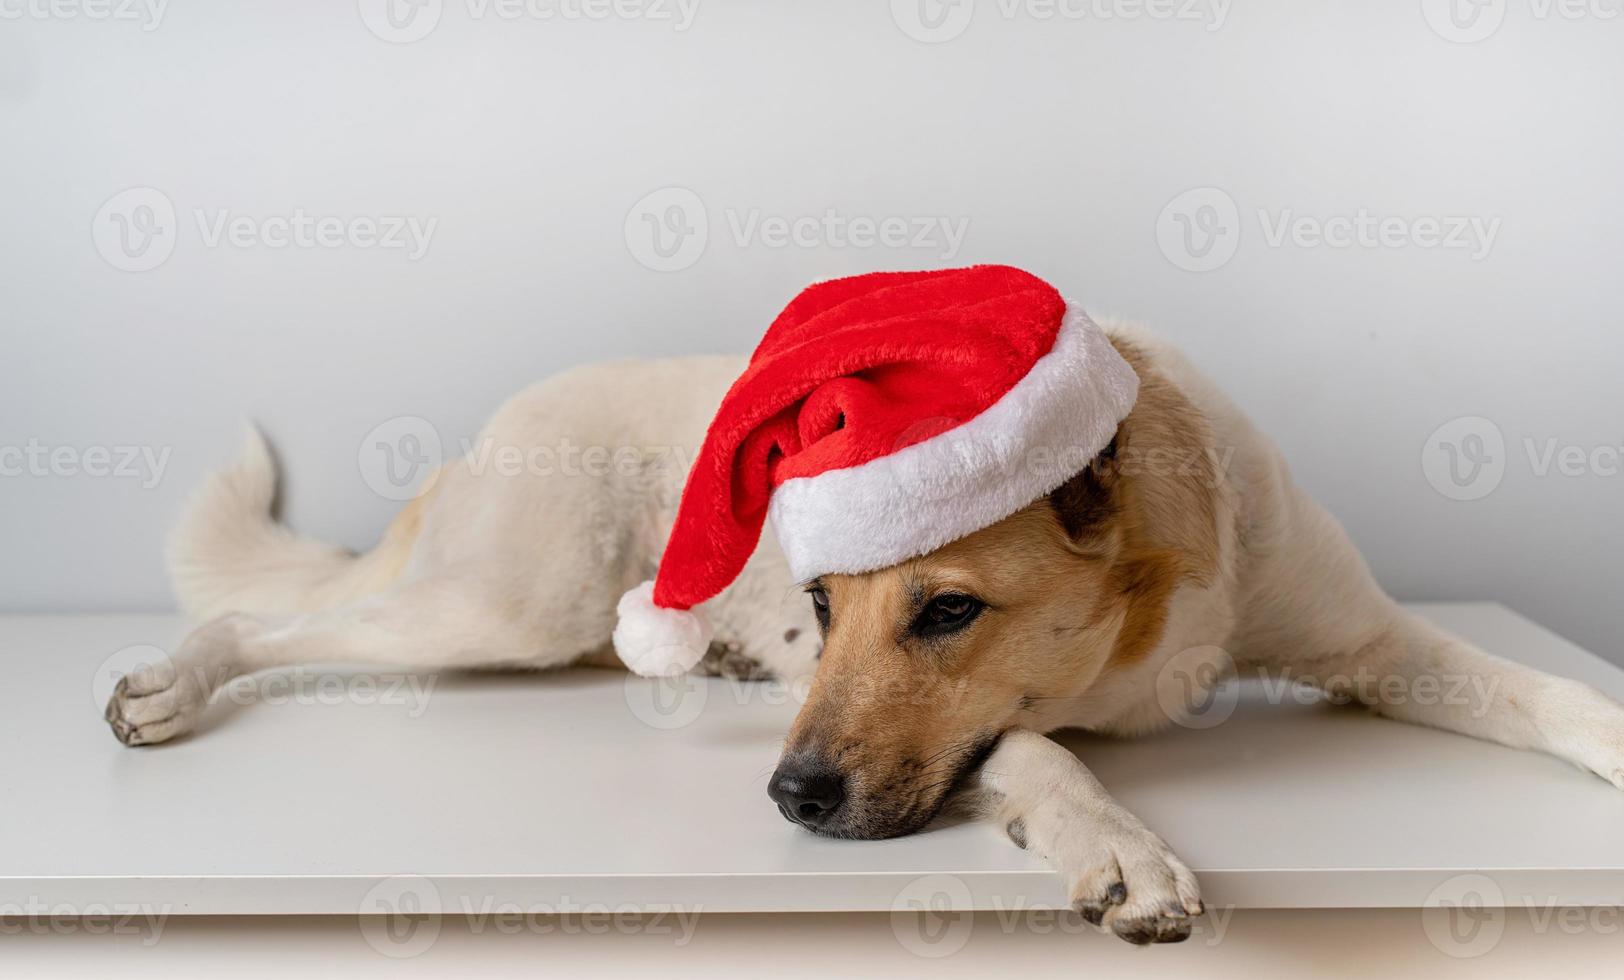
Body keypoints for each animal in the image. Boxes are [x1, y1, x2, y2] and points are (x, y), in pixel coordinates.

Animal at [101, 318, 1624, 949]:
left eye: (949, 609)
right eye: (821, 605)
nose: (787, 797)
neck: (1152, 612)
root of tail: (486, 432)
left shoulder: (1375, 643)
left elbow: (1545, 693)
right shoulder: (985, 733)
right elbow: (1042, 754)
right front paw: (1123, 847)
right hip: (507, 607)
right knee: (258, 615)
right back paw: (166, 685)